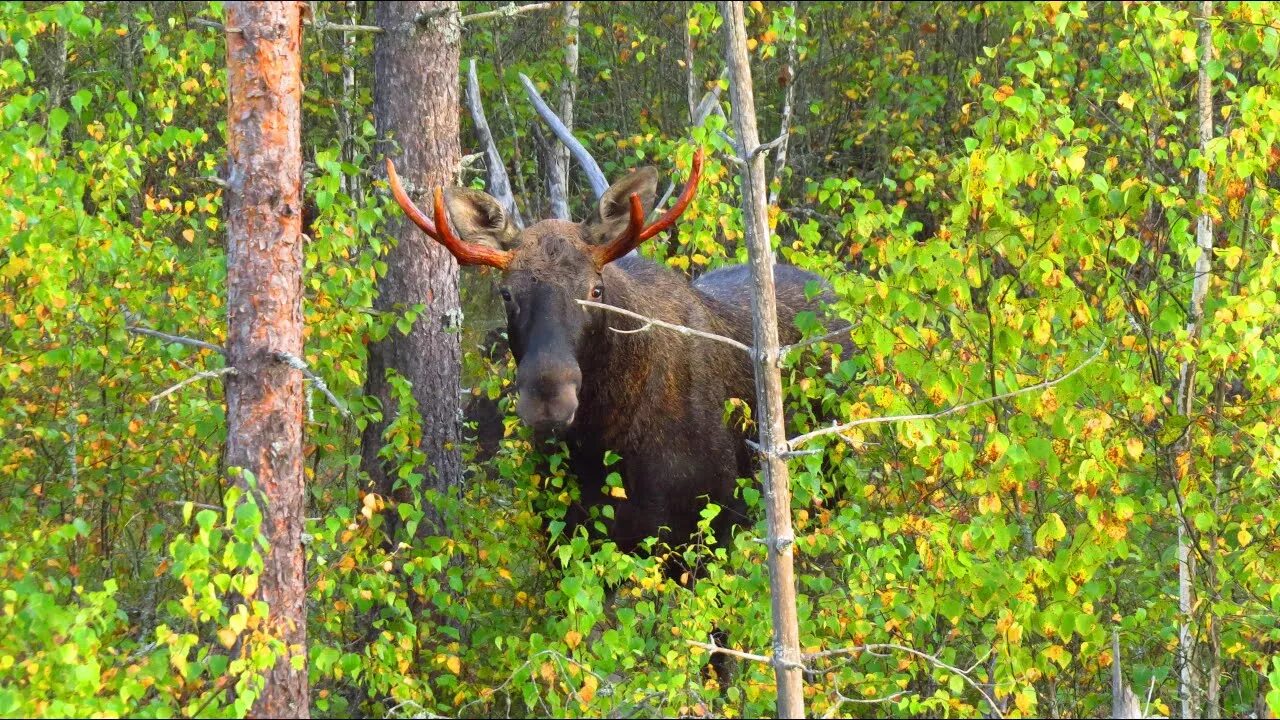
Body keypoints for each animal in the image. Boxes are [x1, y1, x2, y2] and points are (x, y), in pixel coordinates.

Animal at [384, 147, 834, 561]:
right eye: (506, 293)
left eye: (595, 289)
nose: (548, 399)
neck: (602, 439)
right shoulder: (564, 537)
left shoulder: (708, 531)